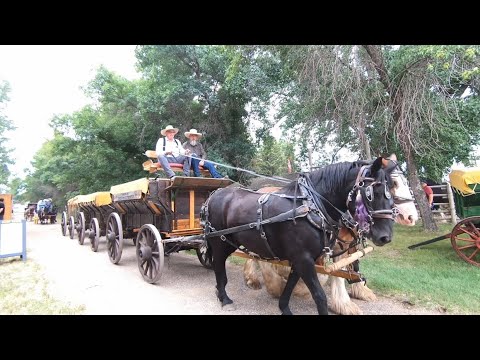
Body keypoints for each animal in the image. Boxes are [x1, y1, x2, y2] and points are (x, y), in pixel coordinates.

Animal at [202, 156, 398, 314]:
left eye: (392, 191)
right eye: (372, 193)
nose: (385, 236)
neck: (312, 206)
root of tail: (214, 195)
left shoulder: (300, 259)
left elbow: (290, 285)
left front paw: (284, 307)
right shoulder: (303, 259)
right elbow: (319, 295)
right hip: (220, 242)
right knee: (219, 266)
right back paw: (224, 298)